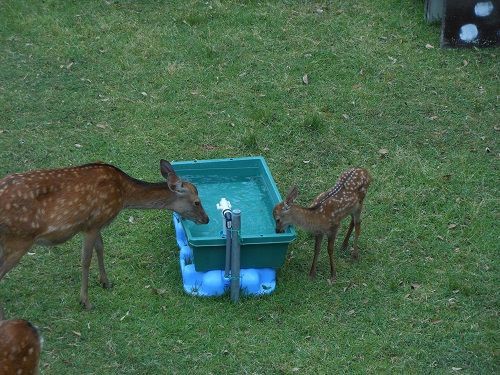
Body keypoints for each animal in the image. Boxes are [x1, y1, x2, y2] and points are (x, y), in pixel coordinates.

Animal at [0, 160, 207, 316]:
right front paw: (85, 301)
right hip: (19, 239)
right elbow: (86, 259)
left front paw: (106, 282)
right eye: (197, 202)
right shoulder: (91, 224)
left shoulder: (98, 223)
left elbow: (101, 248)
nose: (206, 219)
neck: (123, 195)